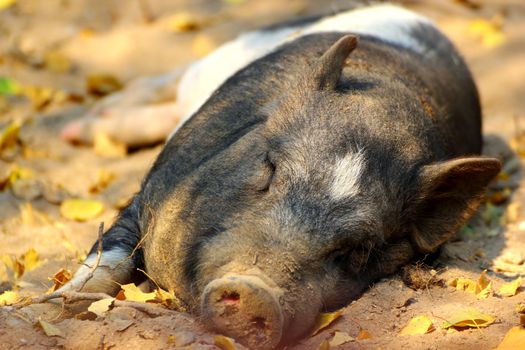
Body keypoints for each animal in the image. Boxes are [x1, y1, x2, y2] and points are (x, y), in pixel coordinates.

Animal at [63, 4, 502, 348]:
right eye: (270, 169)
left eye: (360, 250)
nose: (256, 290)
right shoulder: (151, 190)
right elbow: (109, 256)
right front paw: (65, 302)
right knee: (173, 77)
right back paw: (82, 125)